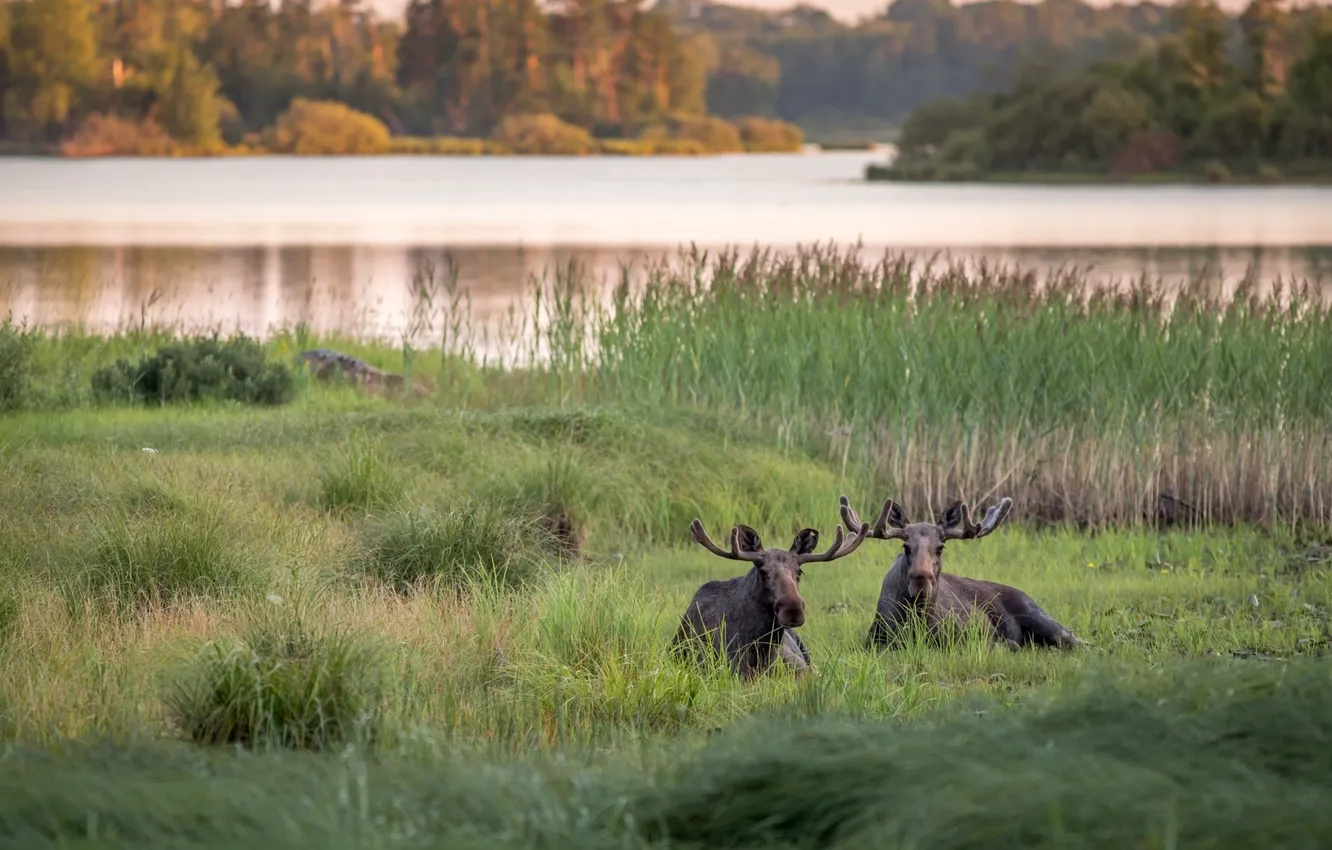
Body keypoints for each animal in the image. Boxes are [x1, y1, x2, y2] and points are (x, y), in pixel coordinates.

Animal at [839, 494, 1084, 651]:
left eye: (940, 547)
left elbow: (1009, 644)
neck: (919, 624)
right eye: (906, 547)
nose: (920, 579)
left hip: (1040, 616)